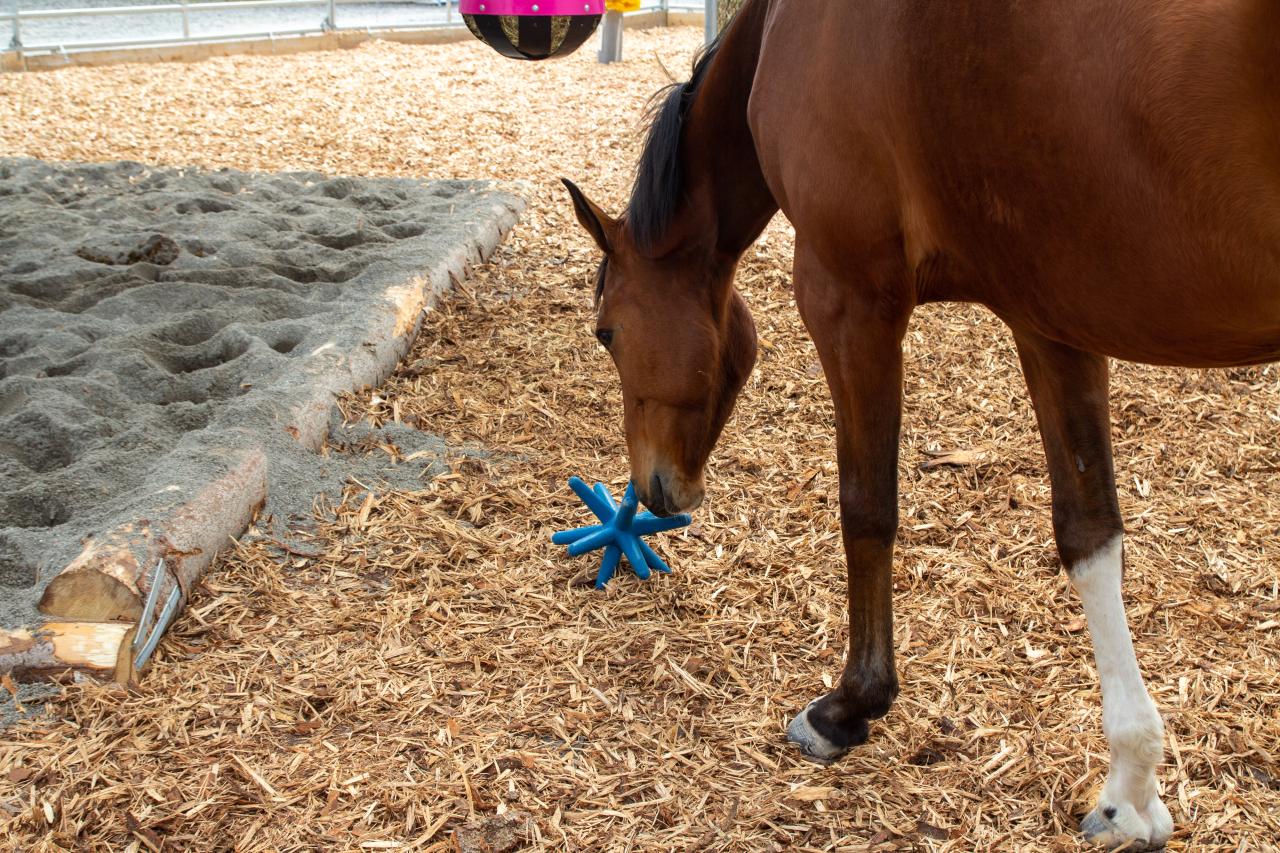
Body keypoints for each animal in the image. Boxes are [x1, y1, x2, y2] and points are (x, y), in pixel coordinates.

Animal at [562, 0, 1280, 847]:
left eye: (606, 332)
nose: (652, 488)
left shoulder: (848, 299)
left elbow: (867, 509)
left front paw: (849, 705)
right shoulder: (1050, 319)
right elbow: (1089, 532)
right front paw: (1129, 786)